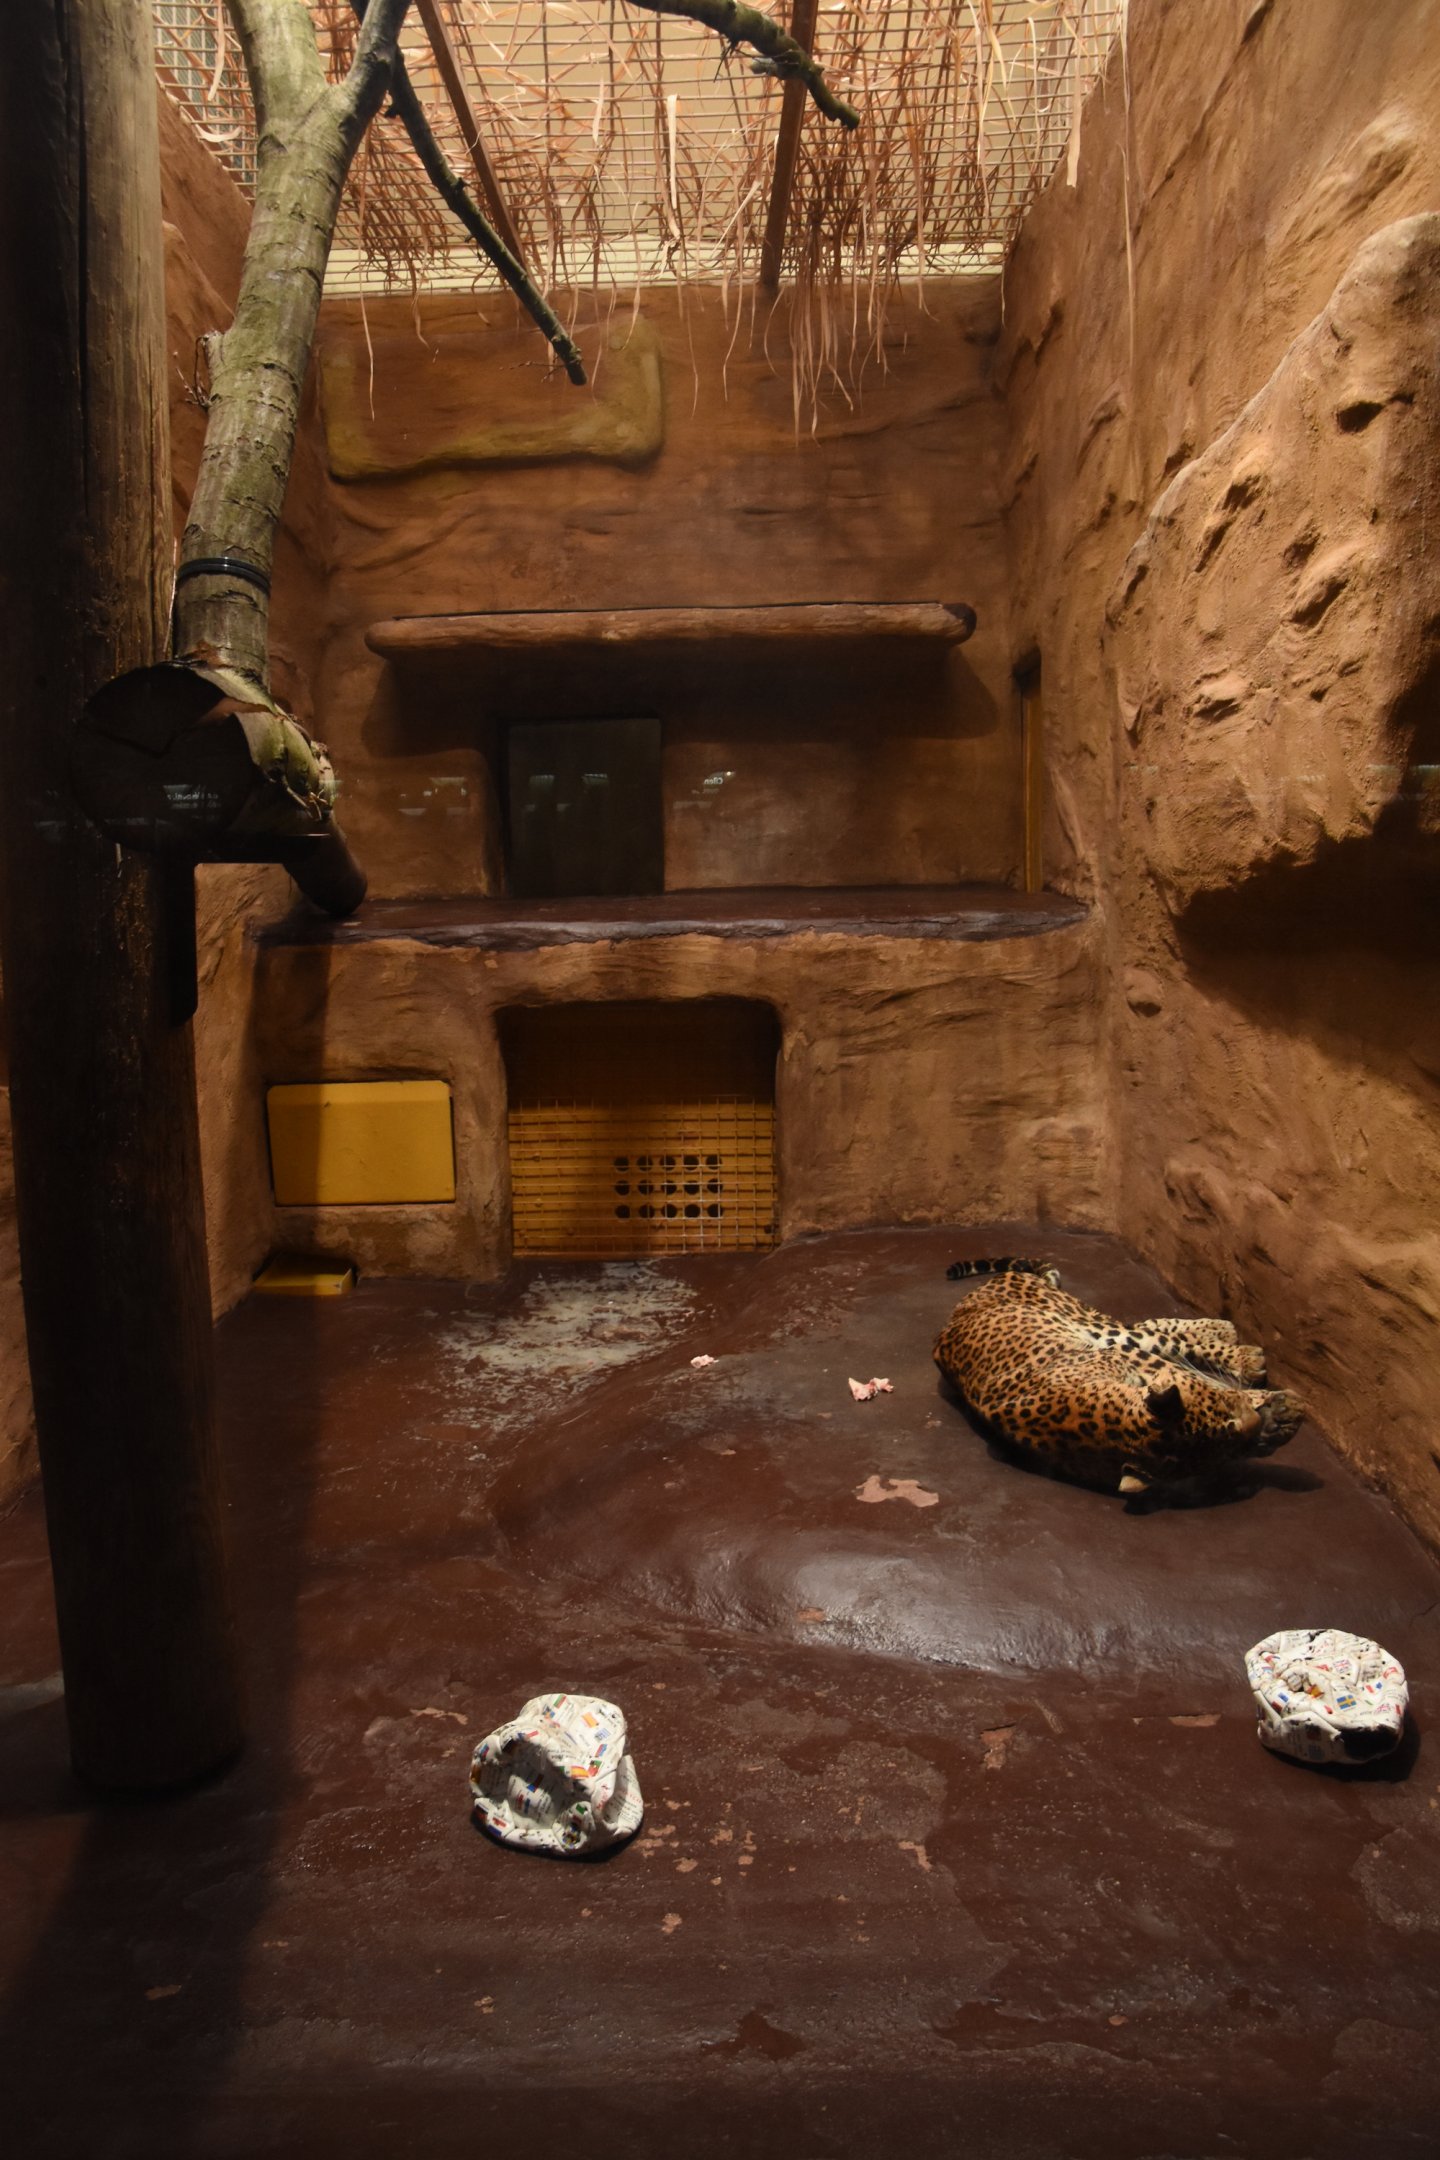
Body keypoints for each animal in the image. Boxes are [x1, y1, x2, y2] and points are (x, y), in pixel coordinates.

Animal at [933, 1258, 1306, 1500]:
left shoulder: (1124, 1356)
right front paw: (1274, 1416)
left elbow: (1180, 1369)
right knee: (1157, 1333)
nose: (1255, 1423)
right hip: (1104, 1331)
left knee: (1149, 1329)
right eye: (1220, 1451)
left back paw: (1228, 1337)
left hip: (1095, 1325)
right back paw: (1237, 1347)